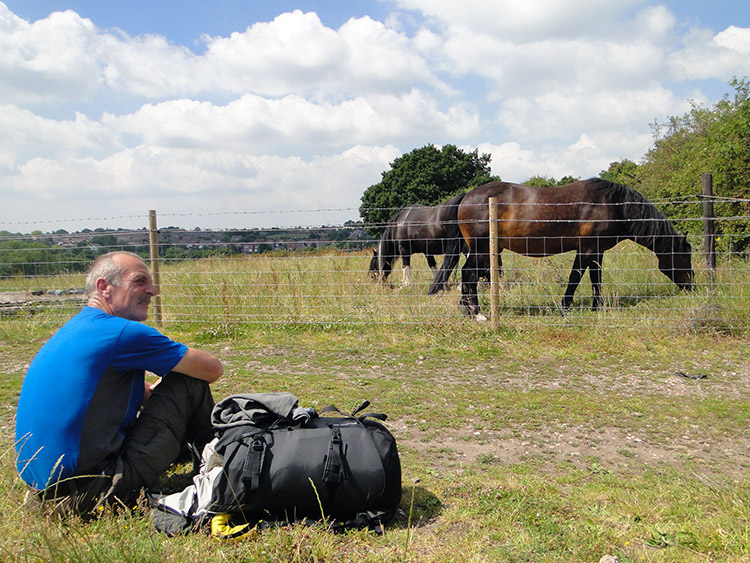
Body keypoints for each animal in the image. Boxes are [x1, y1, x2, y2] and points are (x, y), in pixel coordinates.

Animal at [438, 178, 696, 320]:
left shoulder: (597, 252)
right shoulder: (587, 251)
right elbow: (576, 278)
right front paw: (566, 308)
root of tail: (467, 196)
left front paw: (596, 308)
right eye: (686, 256)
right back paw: (477, 313)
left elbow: (595, 280)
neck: (614, 205)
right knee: (468, 275)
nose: (693, 287)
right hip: (481, 250)